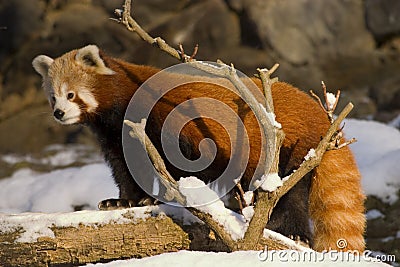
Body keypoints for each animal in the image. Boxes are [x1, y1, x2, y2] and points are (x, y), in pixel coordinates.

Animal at [33, 44, 366, 253]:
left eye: (71, 94)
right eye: (53, 97)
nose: (59, 113)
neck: (122, 105)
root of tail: (319, 114)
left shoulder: (171, 120)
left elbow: (184, 164)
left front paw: (163, 196)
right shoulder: (117, 136)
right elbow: (125, 168)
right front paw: (124, 201)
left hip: (291, 151)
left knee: (291, 193)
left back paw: (291, 230)